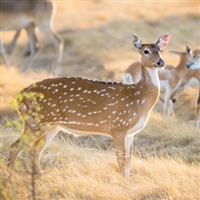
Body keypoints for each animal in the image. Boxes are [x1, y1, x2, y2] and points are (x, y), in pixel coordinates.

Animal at [7, 33, 170, 180]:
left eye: (161, 50)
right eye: (146, 51)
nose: (161, 63)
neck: (139, 99)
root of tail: (19, 96)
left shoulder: (131, 133)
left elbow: (129, 162)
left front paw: (128, 182)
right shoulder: (118, 127)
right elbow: (121, 162)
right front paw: (122, 183)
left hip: (50, 125)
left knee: (35, 150)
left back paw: (38, 176)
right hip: (36, 121)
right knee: (15, 146)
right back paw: (11, 178)